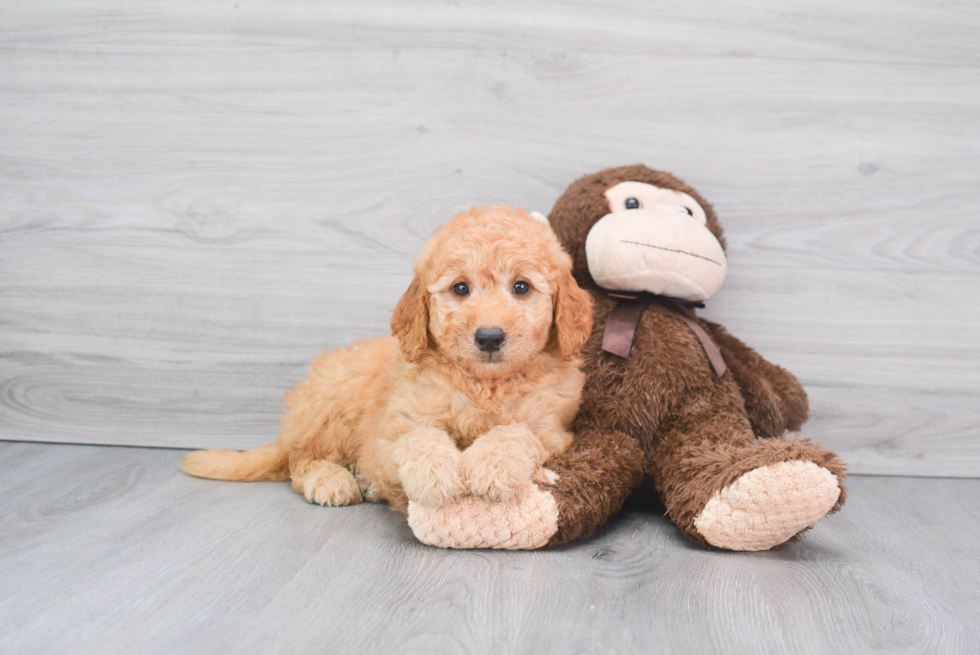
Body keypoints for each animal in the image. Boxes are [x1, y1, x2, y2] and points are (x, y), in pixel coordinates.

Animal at [185, 208, 596, 516]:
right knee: (300, 461)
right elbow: (416, 438)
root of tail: (288, 431)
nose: (490, 337)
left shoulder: (552, 429)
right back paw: (331, 480)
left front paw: (492, 465)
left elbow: (518, 433)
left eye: (521, 287)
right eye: (460, 288)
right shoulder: (390, 431)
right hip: (332, 400)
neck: (484, 384)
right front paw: (436, 475)